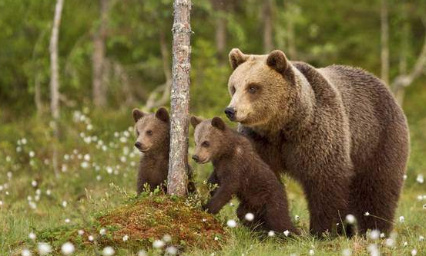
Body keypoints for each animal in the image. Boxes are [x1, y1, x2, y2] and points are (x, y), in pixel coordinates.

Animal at [226, 48, 410, 236]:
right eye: (234, 87)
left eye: (253, 87)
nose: (231, 110)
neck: (283, 126)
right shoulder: (260, 141)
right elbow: (259, 178)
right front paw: (262, 224)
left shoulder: (316, 135)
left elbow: (324, 179)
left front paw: (324, 230)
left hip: (377, 138)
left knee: (378, 187)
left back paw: (375, 231)